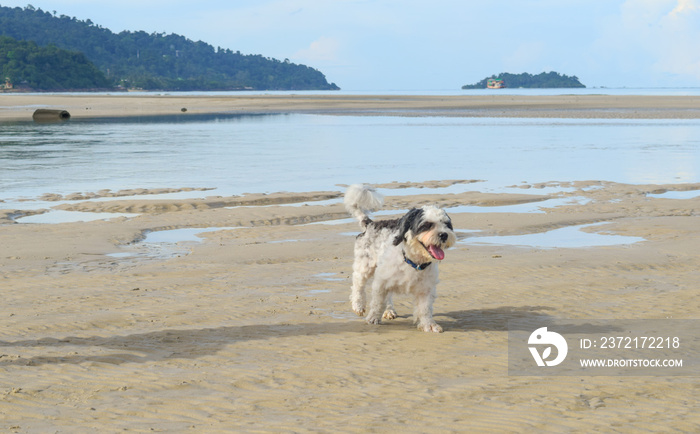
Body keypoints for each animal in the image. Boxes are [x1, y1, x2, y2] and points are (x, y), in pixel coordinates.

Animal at [344, 184, 454, 332]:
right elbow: (377, 302)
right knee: (358, 284)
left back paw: (389, 310)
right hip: (365, 266)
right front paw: (373, 318)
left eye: (447, 224)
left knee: (388, 297)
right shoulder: (381, 282)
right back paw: (358, 305)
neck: (413, 262)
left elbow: (425, 309)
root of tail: (370, 224)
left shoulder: (425, 289)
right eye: (426, 225)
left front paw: (428, 324)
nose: (444, 235)